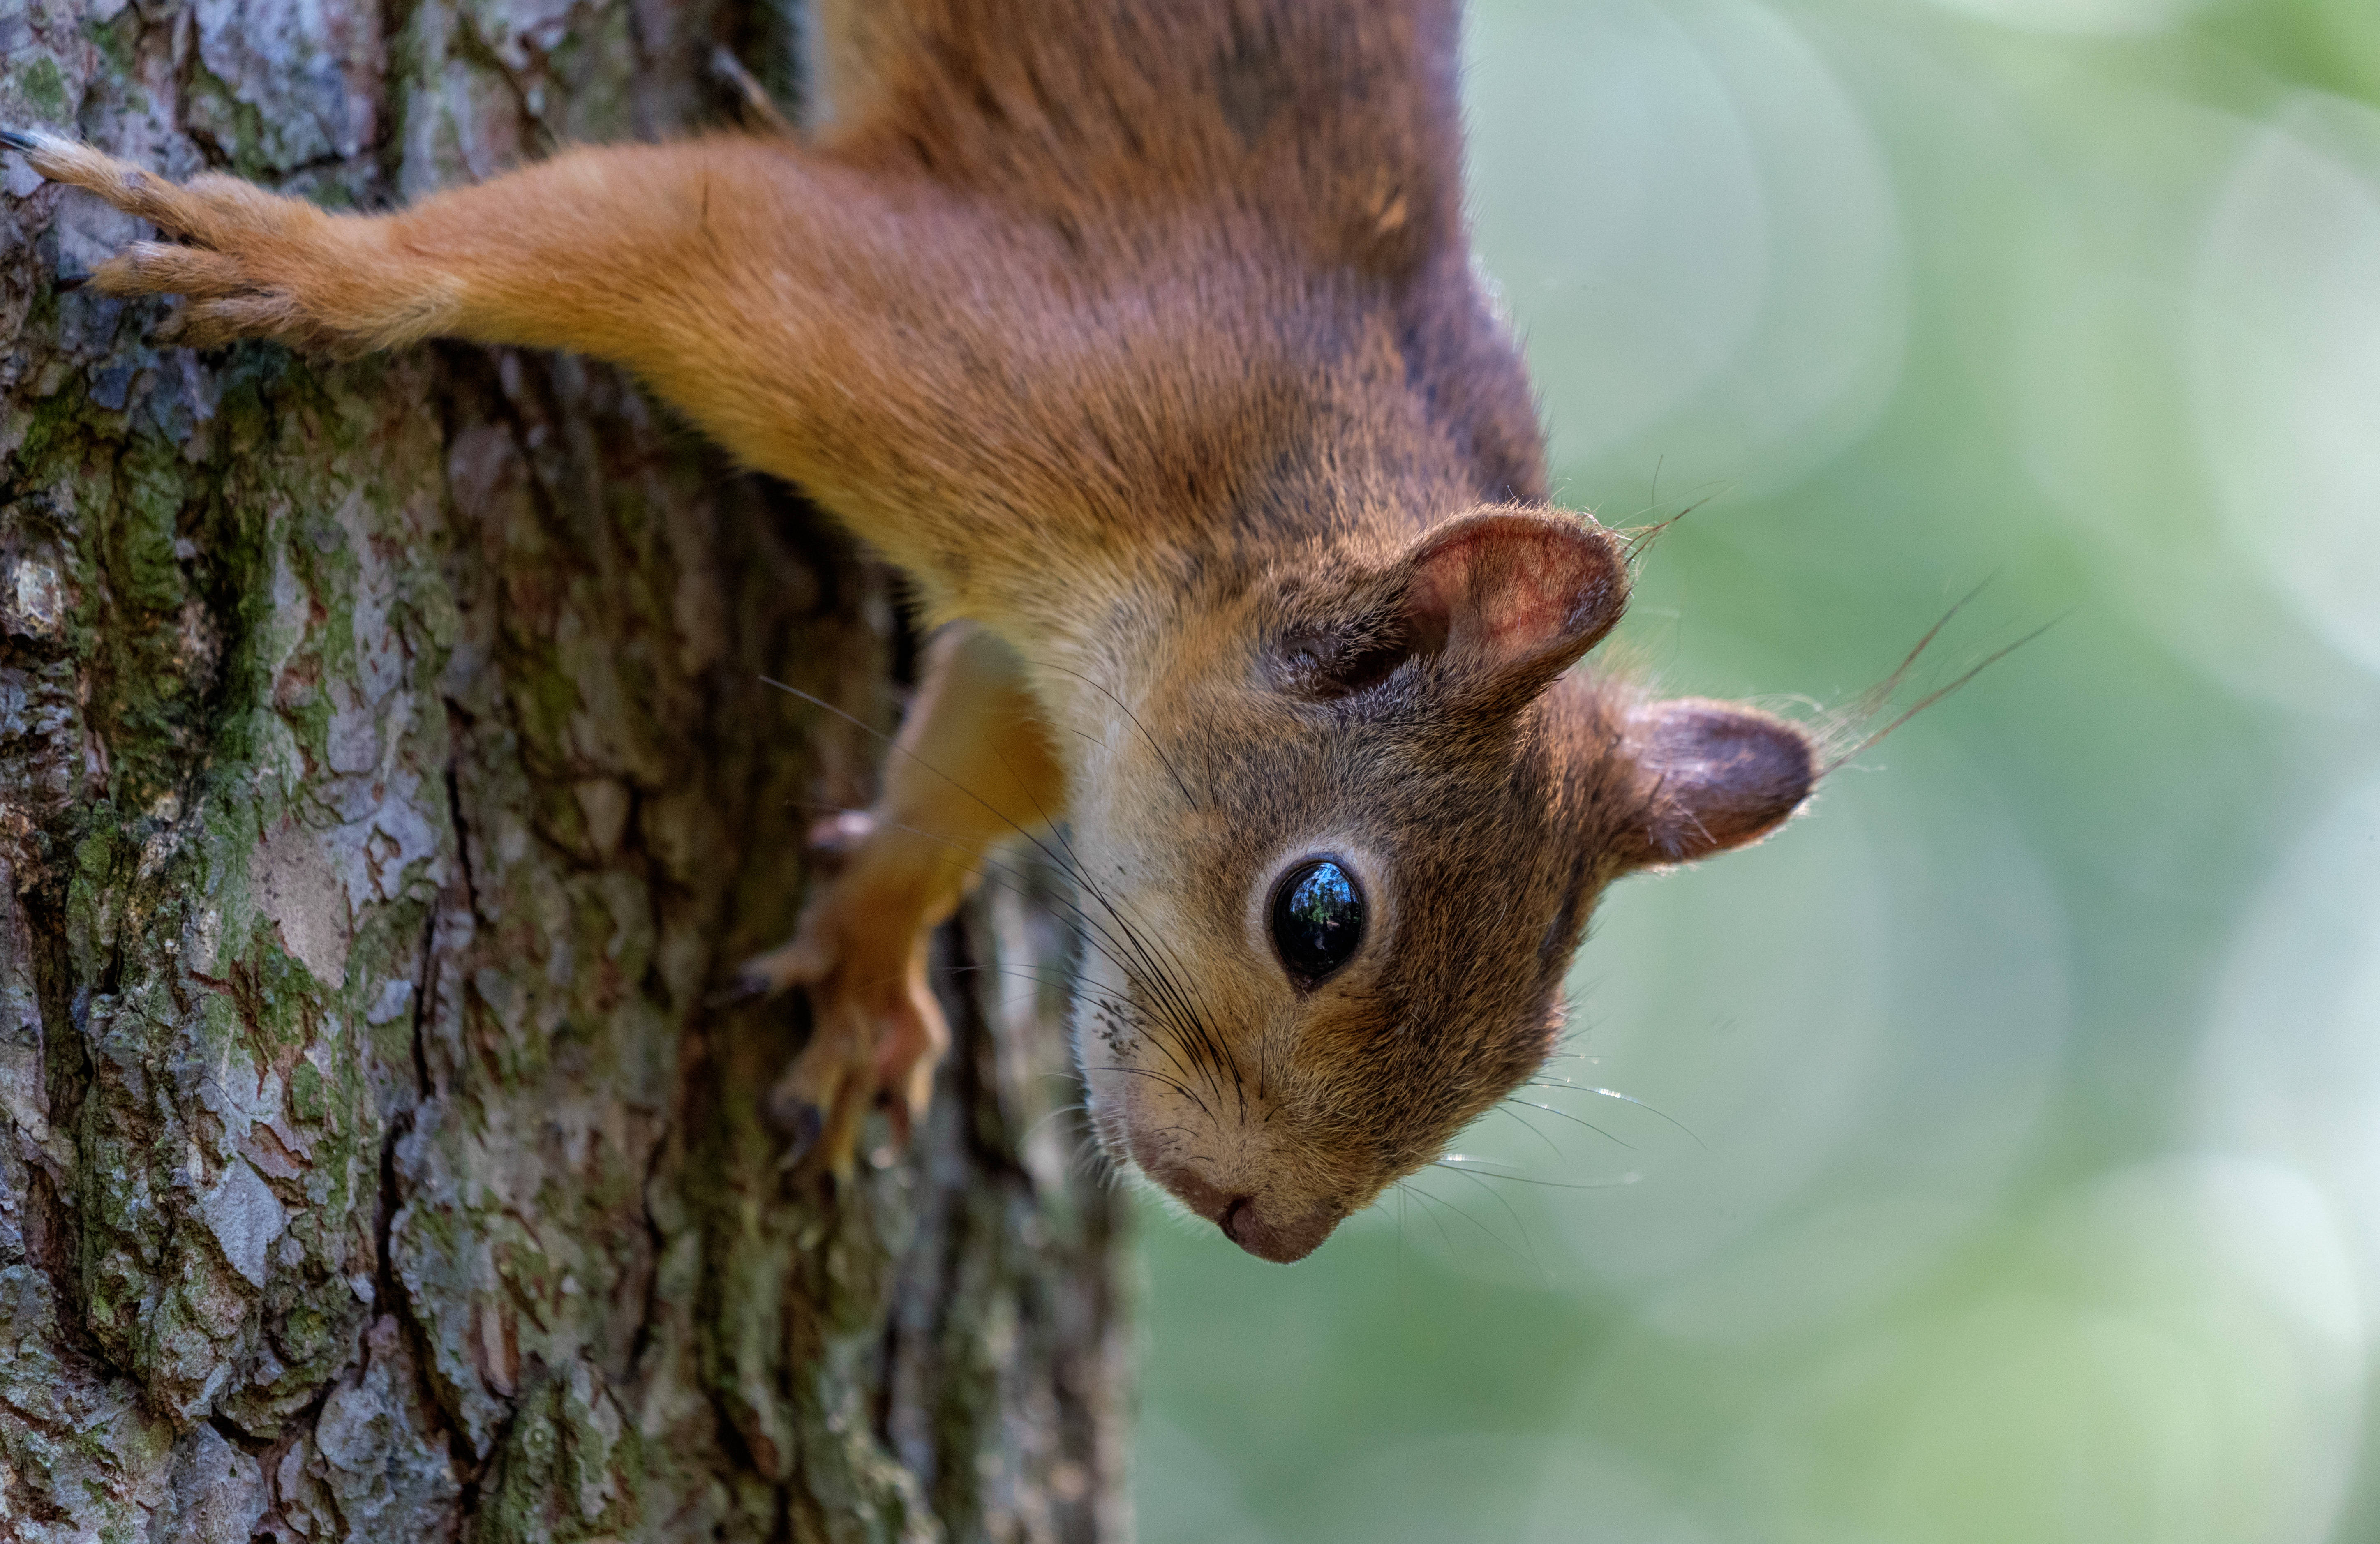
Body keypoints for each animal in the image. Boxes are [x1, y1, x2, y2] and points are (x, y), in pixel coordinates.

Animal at [5, 0, 1818, 1256]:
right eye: (1321, 915)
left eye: (1527, 1044)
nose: (1269, 1231)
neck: (1261, 487)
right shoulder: (962, 340)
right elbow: (655, 226)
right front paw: (314, 259)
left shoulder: (1064, 660)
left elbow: (966, 769)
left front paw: (872, 951)